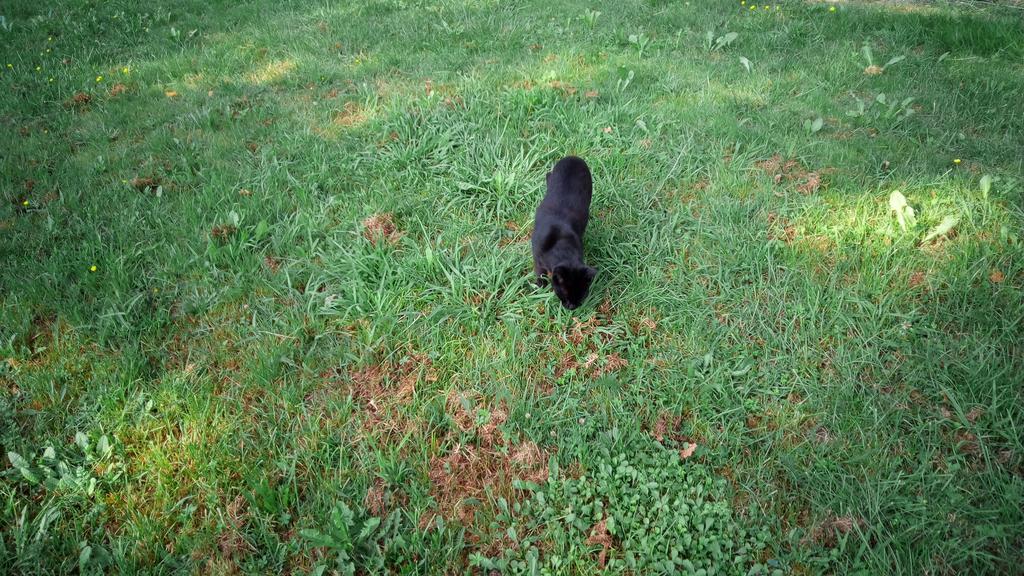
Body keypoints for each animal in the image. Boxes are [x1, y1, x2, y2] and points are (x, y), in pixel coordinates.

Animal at [532, 153, 598, 309]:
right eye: (565, 293)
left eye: (582, 294)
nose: (572, 306)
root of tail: (573, 157)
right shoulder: (537, 258)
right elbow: (540, 273)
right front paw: (540, 287)